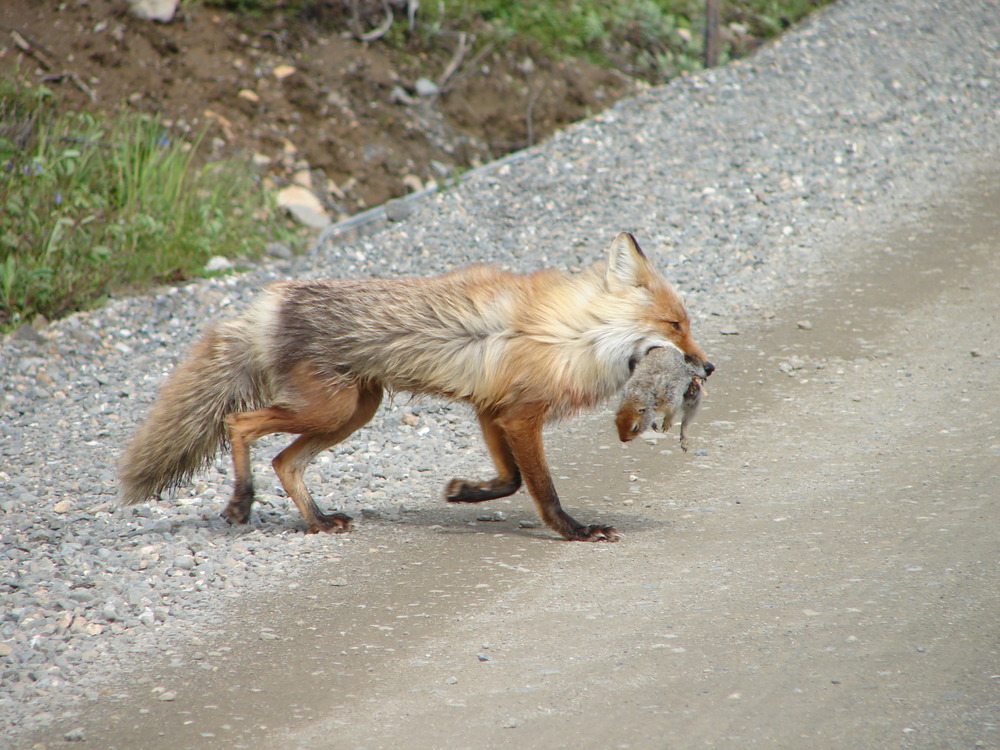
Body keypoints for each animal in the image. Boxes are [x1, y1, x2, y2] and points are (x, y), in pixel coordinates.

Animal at [119, 232, 713, 542]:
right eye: (674, 325)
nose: (707, 370)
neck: (573, 334)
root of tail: (268, 304)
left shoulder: (492, 410)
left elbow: (509, 481)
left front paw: (463, 492)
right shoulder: (520, 415)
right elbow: (541, 487)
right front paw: (573, 530)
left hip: (352, 411)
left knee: (284, 462)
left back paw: (316, 521)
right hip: (329, 409)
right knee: (238, 422)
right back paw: (242, 501)